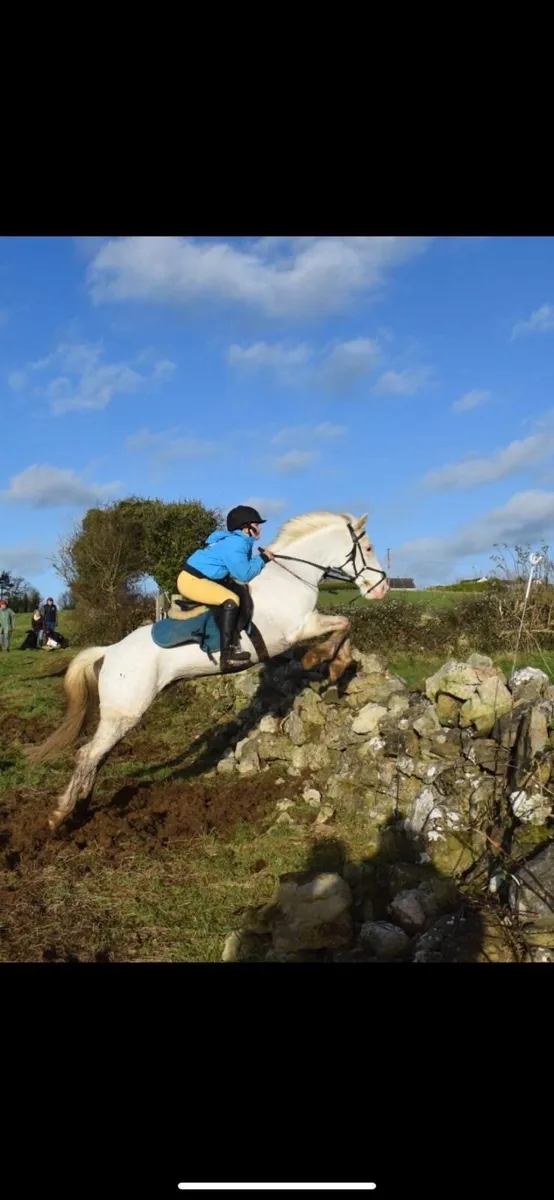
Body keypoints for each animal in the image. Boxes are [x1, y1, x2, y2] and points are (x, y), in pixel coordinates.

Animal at [27, 510, 388, 831]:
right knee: (88, 754)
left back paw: (81, 805)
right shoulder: (298, 629)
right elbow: (343, 623)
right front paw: (321, 659)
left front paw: (336, 666)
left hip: (121, 715)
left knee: (97, 755)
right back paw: (60, 815)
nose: (382, 589)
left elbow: (345, 626)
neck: (291, 577)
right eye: (369, 548)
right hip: (125, 711)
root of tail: (111, 651)